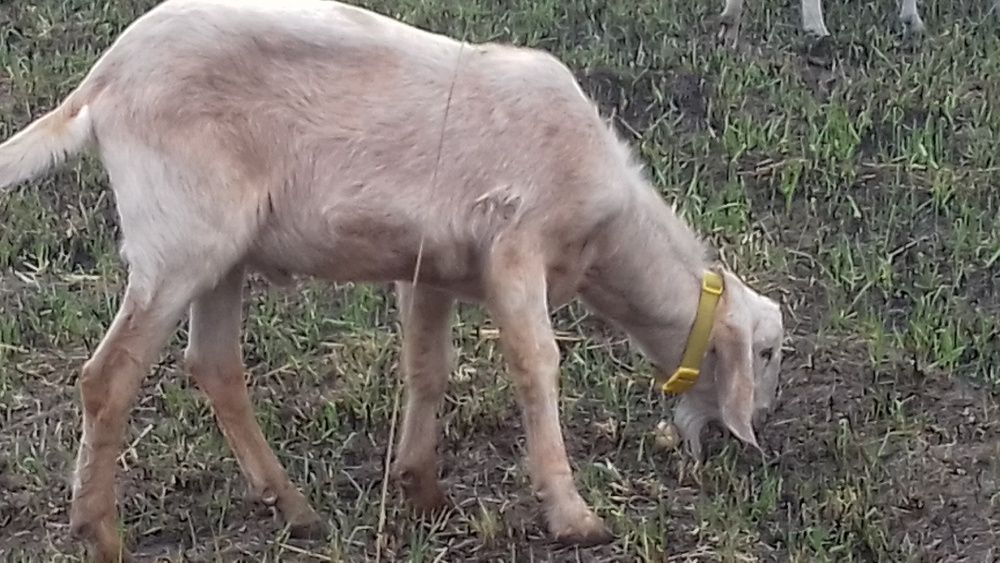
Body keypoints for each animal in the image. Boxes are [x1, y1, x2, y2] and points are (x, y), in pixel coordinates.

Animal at [0, 0, 785, 559]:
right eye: (770, 351)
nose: (757, 432)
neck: (607, 234)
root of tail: (103, 80)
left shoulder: (433, 266)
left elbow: (427, 367)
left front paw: (421, 486)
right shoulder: (514, 247)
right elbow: (537, 365)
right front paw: (574, 517)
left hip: (221, 251)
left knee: (213, 364)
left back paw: (296, 510)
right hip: (180, 238)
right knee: (108, 378)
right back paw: (101, 533)